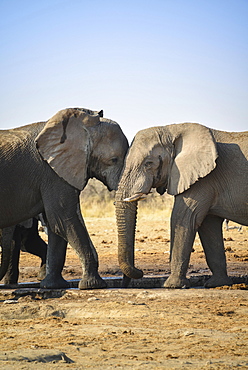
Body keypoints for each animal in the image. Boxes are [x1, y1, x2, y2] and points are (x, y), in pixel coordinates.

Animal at [0, 107, 128, 290]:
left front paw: (53, 286)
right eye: (113, 159)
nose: (124, 283)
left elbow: (57, 224)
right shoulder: (51, 172)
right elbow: (64, 219)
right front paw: (93, 285)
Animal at [116, 123, 248, 288]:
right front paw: (217, 284)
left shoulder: (203, 179)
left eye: (149, 163)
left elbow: (182, 219)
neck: (172, 129)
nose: (140, 272)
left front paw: (171, 286)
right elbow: (208, 226)